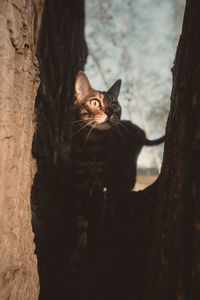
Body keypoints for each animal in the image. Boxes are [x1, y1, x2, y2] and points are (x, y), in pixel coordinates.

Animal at [69, 71, 164, 270]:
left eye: (114, 104)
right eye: (95, 102)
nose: (110, 112)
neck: (93, 146)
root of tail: (140, 131)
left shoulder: (112, 182)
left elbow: (106, 214)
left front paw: (101, 248)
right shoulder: (80, 183)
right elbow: (81, 221)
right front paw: (78, 253)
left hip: (129, 173)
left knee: (124, 189)